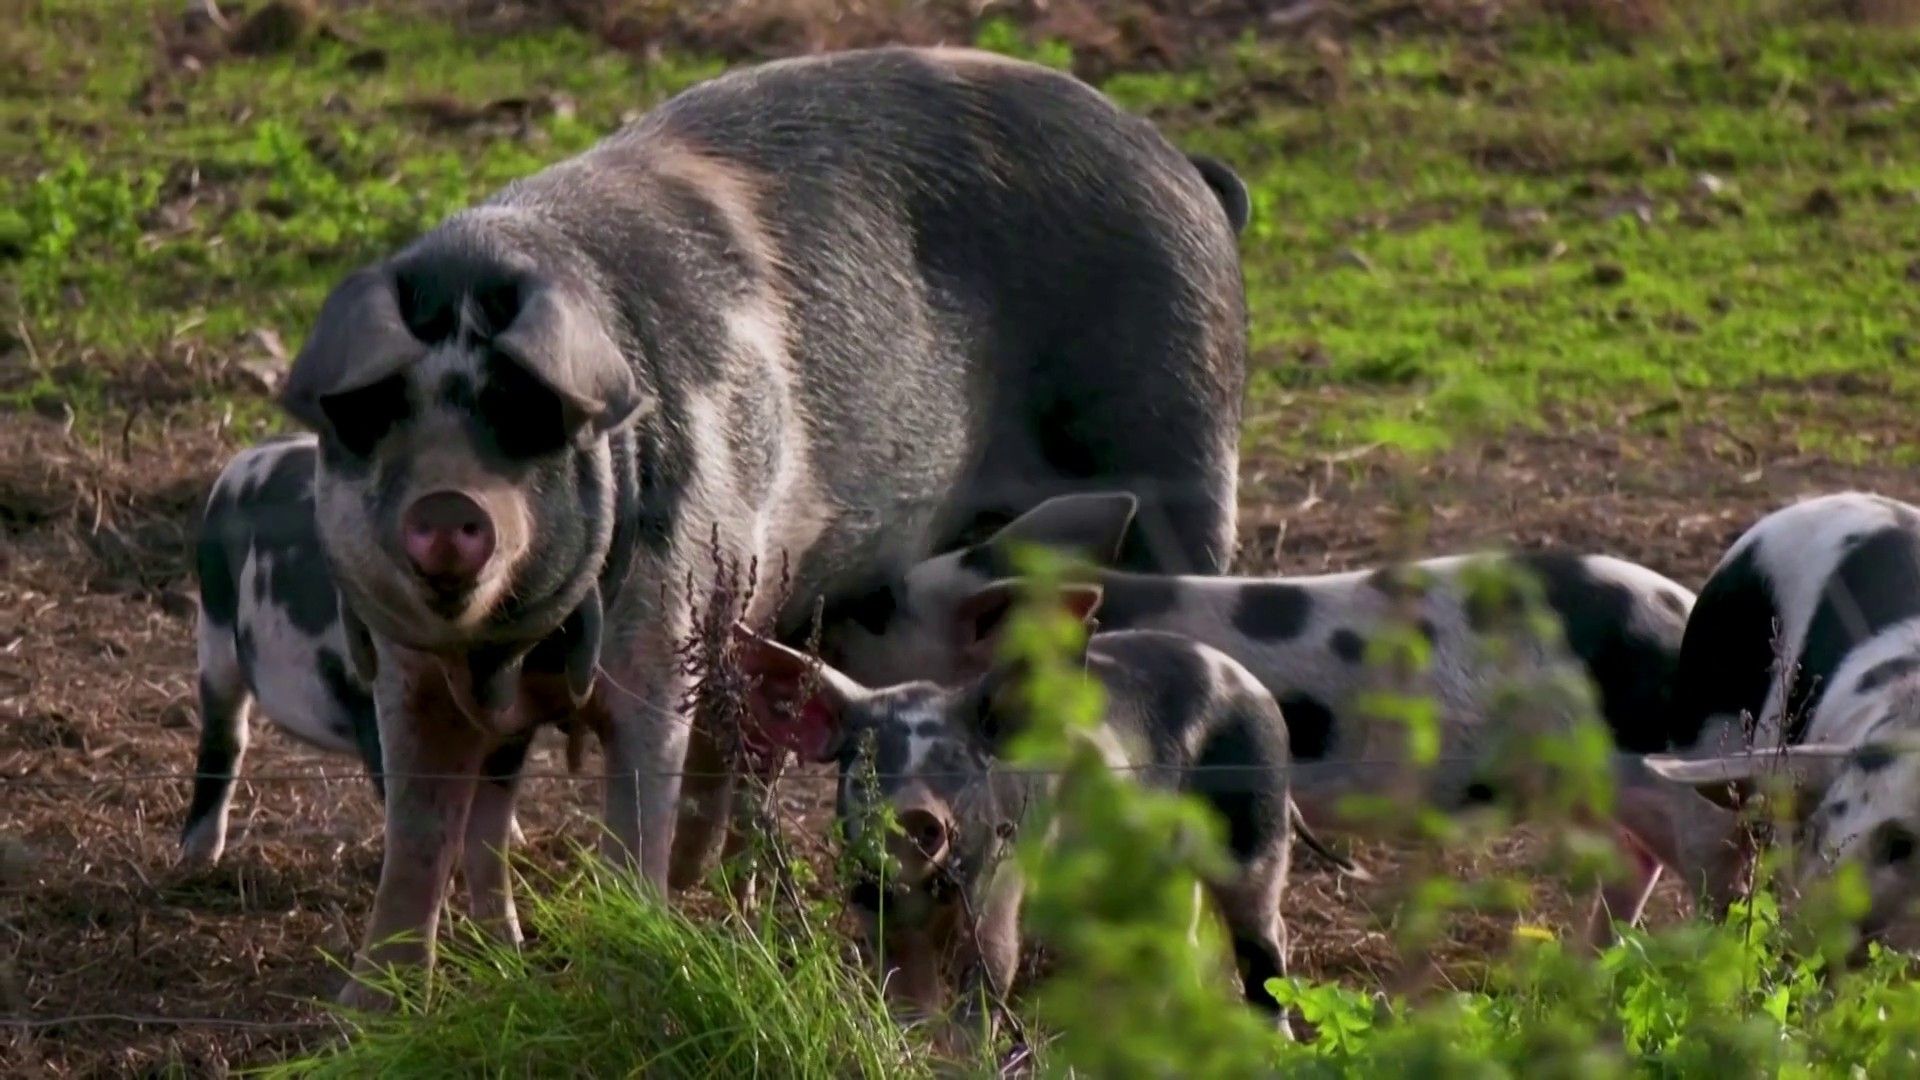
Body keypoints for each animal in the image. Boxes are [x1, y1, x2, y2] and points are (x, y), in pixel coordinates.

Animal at [276, 47, 1249, 1006]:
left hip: (1183, 454)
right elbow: (415, 845)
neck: (512, 655)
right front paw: (369, 1014)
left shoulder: (662, 638)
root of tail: (1182, 169)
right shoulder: (408, 668)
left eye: (523, 410)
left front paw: (630, 942)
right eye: (376, 414)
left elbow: (638, 816)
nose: (448, 506)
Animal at [734, 580, 1357, 1044]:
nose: (914, 815)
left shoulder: (1001, 888)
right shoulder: (876, 912)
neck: (930, 895)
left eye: (957, 760)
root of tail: (1248, 683)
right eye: (865, 758)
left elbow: (989, 978)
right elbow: (908, 999)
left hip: (1256, 829)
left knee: (1265, 942)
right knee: (1178, 935)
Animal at [821, 492, 1741, 939]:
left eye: (876, 606)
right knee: (1634, 864)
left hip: (1668, 772)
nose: (813, 621)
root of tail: (1683, 612)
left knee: (1719, 858)